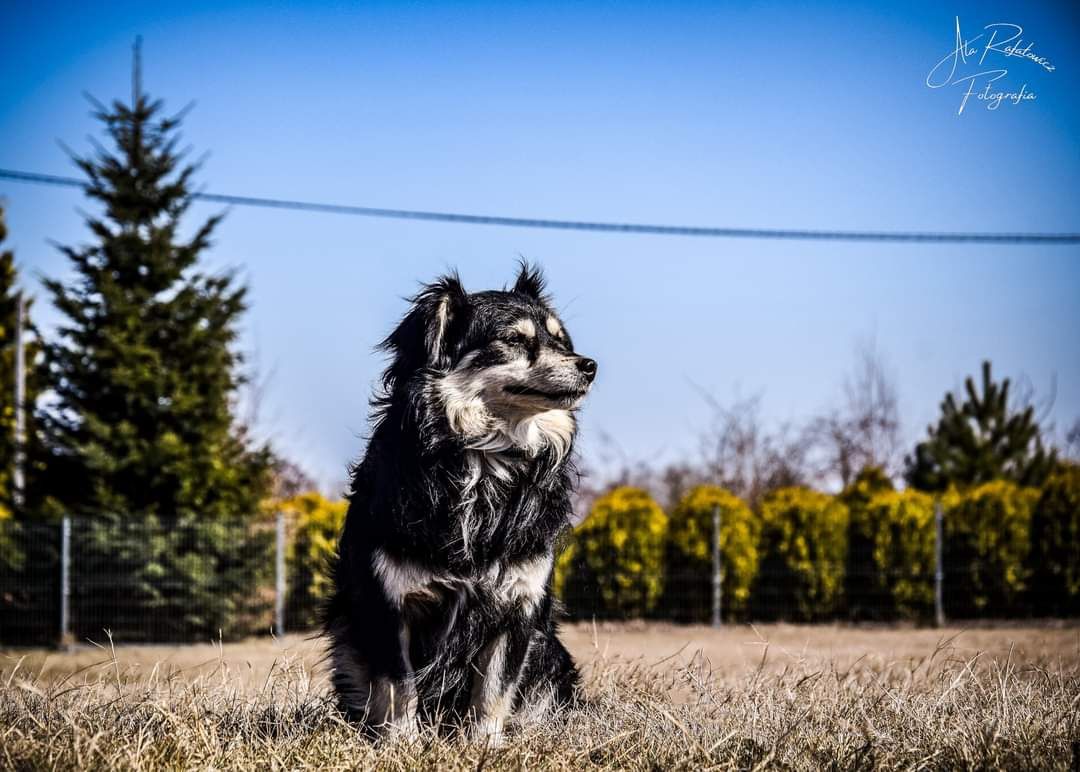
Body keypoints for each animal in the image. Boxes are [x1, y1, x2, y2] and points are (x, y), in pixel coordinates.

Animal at [326, 264, 600, 742]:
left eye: (560, 340)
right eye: (514, 340)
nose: (590, 365)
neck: (487, 458)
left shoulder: (519, 606)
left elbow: (493, 688)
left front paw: (485, 745)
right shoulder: (388, 601)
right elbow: (399, 686)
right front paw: (401, 744)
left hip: (549, 651)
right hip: (347, 635)